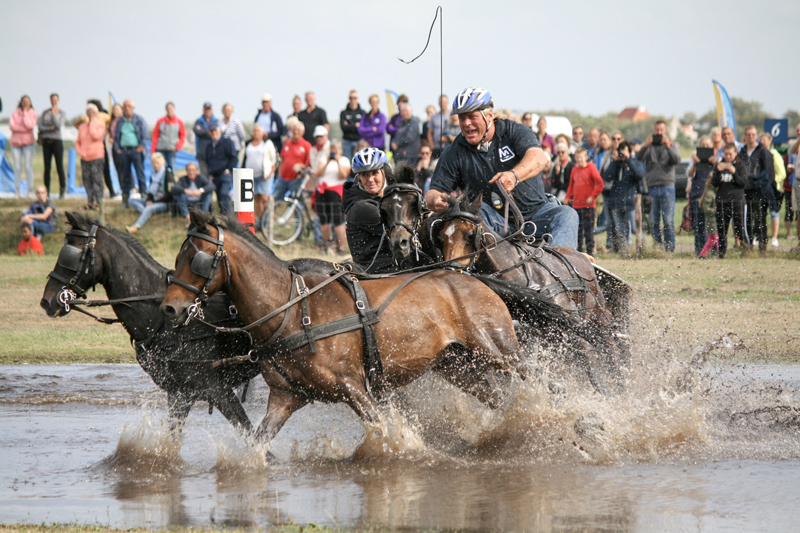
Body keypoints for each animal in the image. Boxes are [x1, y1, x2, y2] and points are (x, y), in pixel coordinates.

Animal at [41, 210, 262, 438]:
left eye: (71, 255)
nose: (47, 301)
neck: (161, 320)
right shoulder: (179, 393)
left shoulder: (214, 389)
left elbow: (249, 433)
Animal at [159, 210, 528, 446]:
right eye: (177, 257)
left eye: (198, 259)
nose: (170, 308)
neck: (293, 312)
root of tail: (473, 279)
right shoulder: (284, 398)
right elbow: (257, 445)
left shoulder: (353, 387)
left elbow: (381, 431)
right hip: (456, 365)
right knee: (496, 399)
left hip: (498, 351)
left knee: (530, 378)